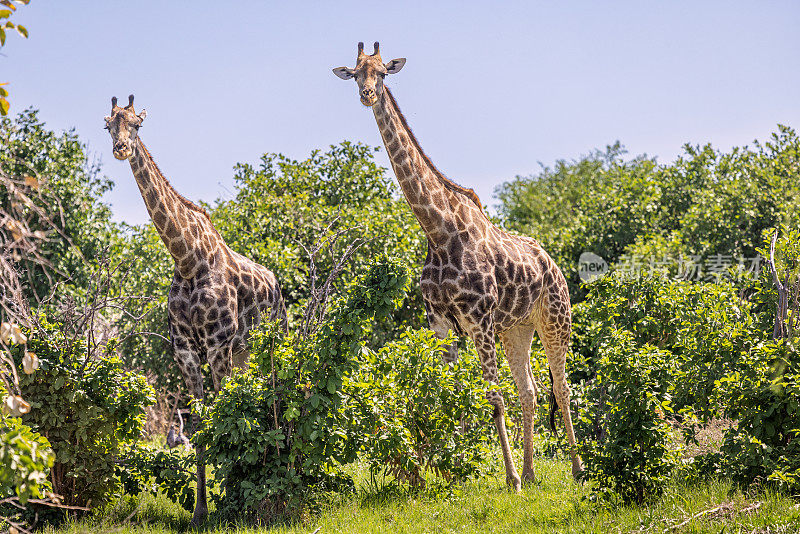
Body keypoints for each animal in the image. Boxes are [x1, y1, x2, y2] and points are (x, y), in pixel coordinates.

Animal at [102, 95, 284, 524]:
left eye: (137, 124)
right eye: (107, 125)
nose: (121, 148)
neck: (188, 260)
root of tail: (276, 283)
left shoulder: (216, 346)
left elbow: (225, 413)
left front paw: (231, 498)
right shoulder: (185, 351)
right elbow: (200, 422)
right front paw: (202, 510)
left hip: (269, 342)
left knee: (269, 391)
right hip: (242, 353)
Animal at [332, 44, 580, 492]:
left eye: (383, 72)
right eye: (356, 73)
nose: (367, 95)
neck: (438, 232)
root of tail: (552, 264)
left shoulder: (478, 318)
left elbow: (492, 398)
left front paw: (507, 478)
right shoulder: (441, 321)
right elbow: (453, 397)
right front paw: (455, 473)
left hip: (554, 319)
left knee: (561, 386)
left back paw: (576, 469)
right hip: (517, 329)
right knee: (531, 390)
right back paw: (533, 472)